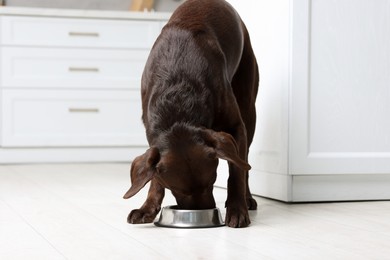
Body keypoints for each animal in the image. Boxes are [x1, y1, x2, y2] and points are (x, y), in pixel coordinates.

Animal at [125, 0, 258, 228]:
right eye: (176, 190)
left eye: (212, 181)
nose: (201, 211)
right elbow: (153, 179)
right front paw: (147, 208)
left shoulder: (236, 127)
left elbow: (237, 171)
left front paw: (237, 208)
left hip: (249, 108)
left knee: (245, 161)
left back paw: (247, 199)